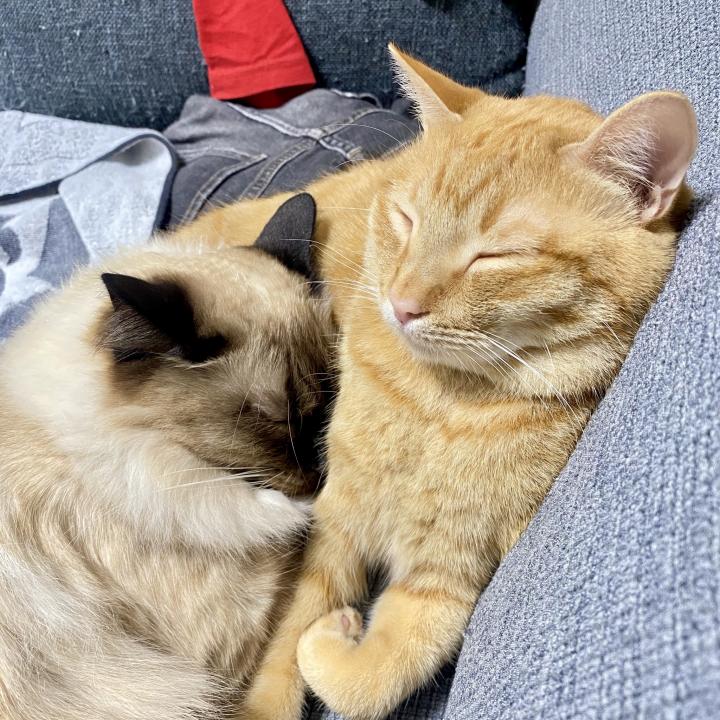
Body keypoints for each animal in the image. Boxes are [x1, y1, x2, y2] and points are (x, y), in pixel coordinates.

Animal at [174, 47, 697, 720]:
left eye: (495, 256)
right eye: (406, 220)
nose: (401, 304)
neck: (441, 403)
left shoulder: (443, 577)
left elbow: (372, 675)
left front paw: (335, 636)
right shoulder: (333, 523)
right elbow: (286, 640)